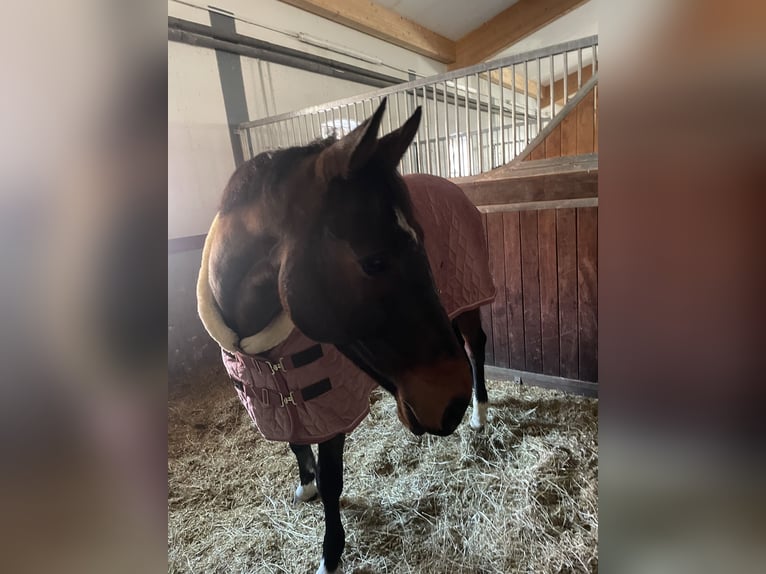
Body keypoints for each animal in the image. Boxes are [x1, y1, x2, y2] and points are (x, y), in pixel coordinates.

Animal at [197, 98, 495, 574]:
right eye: (374, 261)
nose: (451, 405)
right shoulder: (288, 400)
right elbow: (295, 444)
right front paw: (306, 485)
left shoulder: (330, 410)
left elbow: (333, 480)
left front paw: (330, 553)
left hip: (468, 300)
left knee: (475, 347)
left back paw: (481, 414)